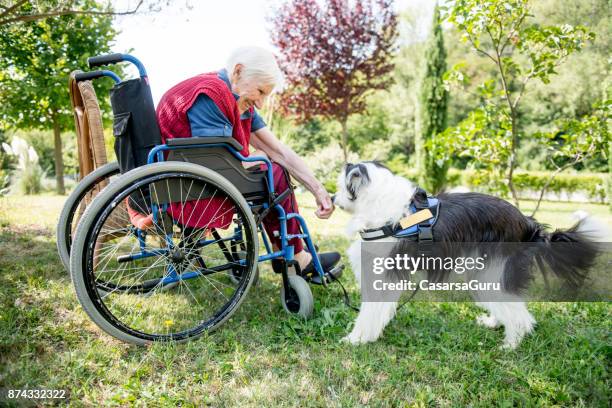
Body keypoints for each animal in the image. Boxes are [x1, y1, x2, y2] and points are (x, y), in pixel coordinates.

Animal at [334, 161, 608, 350]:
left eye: (340, 187)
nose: (333, 198)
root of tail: (529, 224)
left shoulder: (383, 274)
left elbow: (368, 313)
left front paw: (357, 338)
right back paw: (495, 323)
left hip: (490, 272)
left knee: (521, 316)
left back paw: (511, 344)